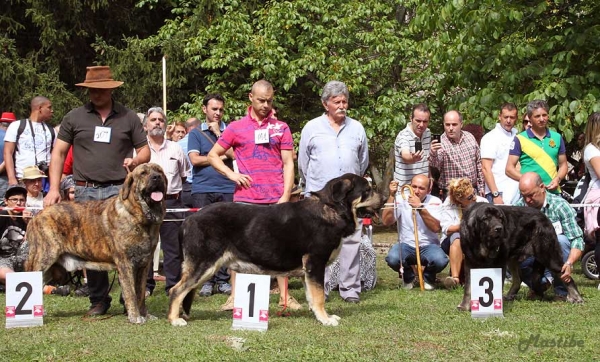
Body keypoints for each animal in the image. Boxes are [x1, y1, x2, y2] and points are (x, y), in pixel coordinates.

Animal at [25, 163, 166, 324]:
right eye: (143, 173)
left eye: (159, 171)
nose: (156, 177)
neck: (139, 216)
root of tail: (36, 217)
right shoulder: (125, 264)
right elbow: (131, 293)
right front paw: (136, 317)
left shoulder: (144, 264)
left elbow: (140, 293)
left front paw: (145, 314)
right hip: (43, 259)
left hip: (52, 267)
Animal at [166, 174, 382, 326]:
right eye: (368, 190)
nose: (385, 196)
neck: (331, 209)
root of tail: (188, 219)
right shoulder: (315, 263)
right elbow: (319, 296)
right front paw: (325, 319)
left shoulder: (308, 270)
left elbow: (312, 296)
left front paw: (318, 316)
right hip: (203, 265)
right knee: (176, 290)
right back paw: (174, 319)